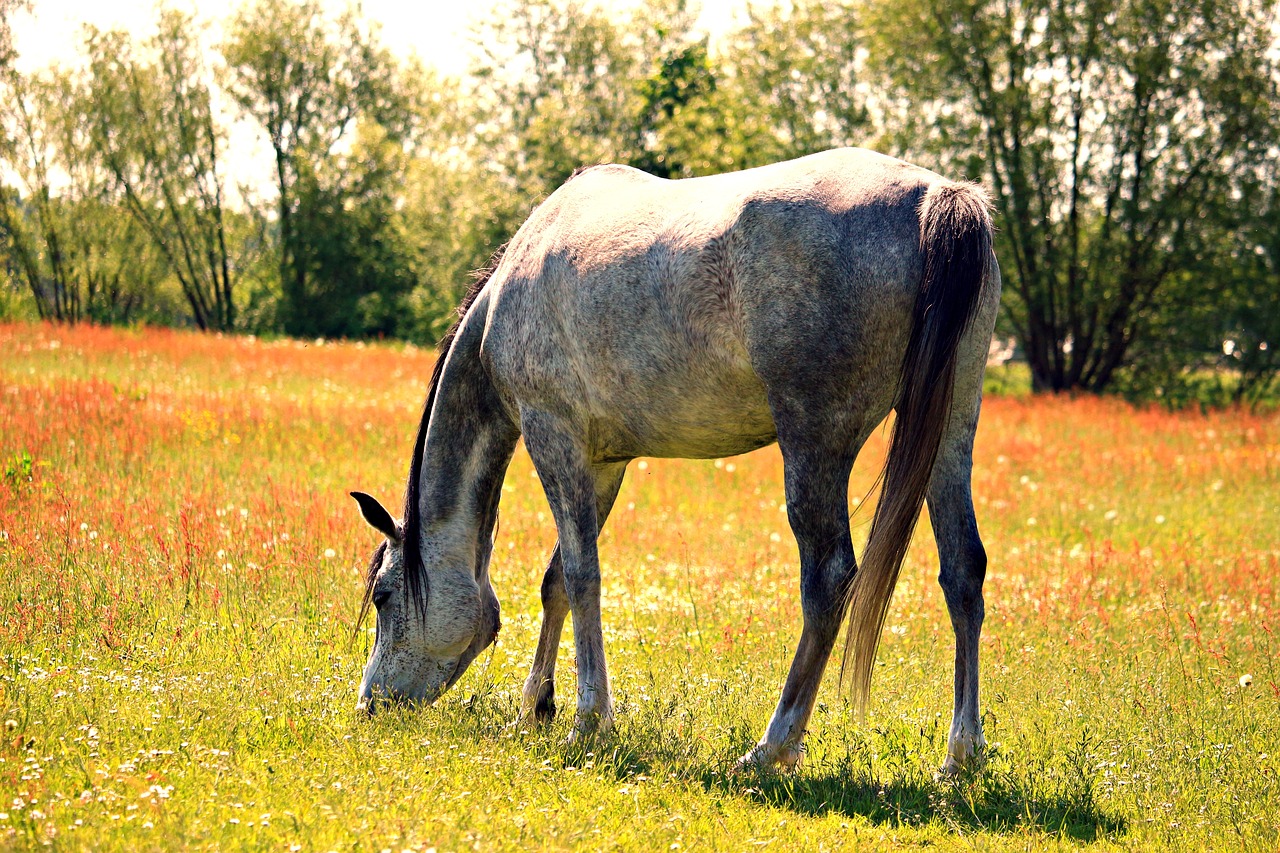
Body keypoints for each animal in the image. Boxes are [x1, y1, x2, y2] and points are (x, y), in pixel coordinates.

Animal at [350, 146, 998, 768]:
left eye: (383, 596)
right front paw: (534, 710)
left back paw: (771, 749)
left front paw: (588, 721)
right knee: (963, 569)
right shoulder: (602, 463)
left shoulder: (551, 435)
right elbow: (557, 579)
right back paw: (960, 756)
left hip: (815, 441)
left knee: (828, 578)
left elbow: (583, 576)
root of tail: (937, 196)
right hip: (950, 430)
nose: (370, 704)